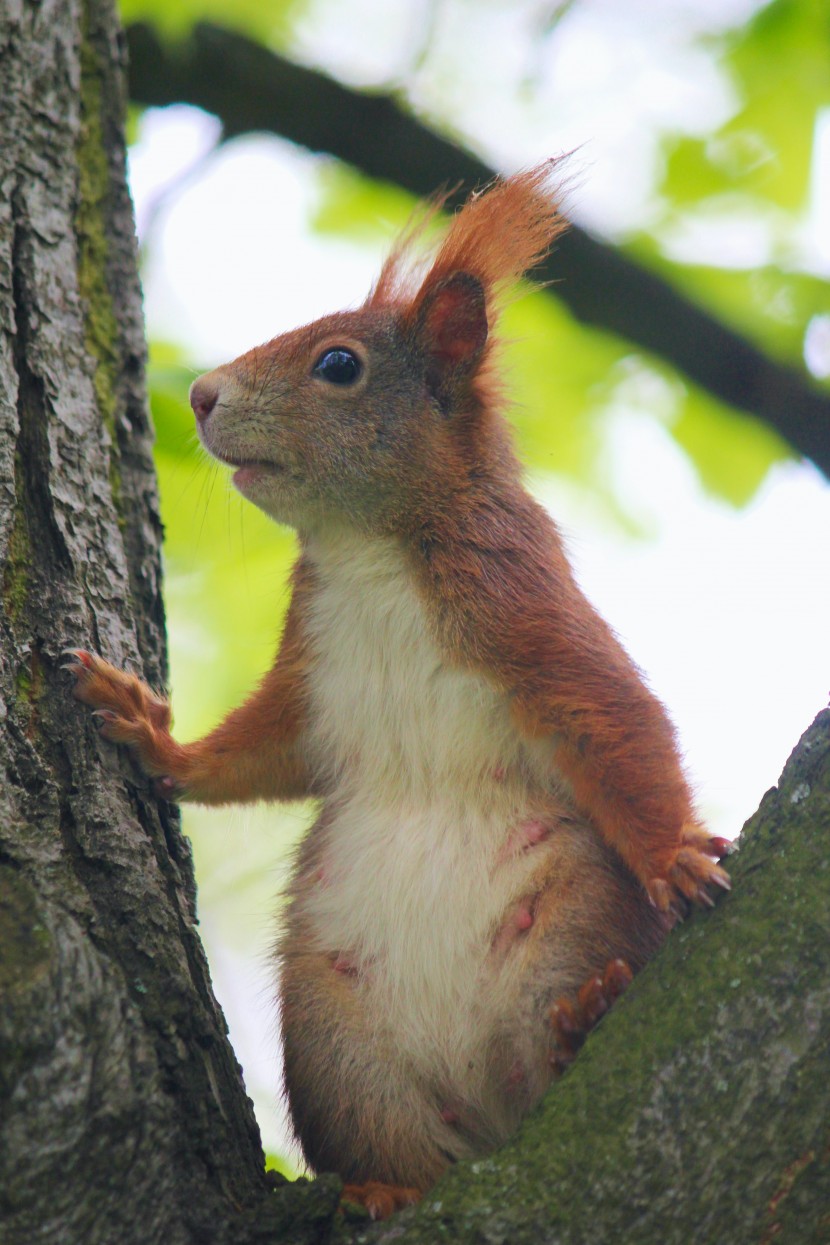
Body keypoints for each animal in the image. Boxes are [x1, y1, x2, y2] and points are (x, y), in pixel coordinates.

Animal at [71, 160, 731, 1220]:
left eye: (339, 365)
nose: (204, 394)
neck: (369, 548)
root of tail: (485, 1120)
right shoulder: (311, 672)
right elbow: (260, 751)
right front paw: (149, 733)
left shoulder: (526, 610)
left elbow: (618, 720)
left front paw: (675, 853)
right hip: (333, 1037)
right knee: (391, 1139)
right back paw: (381, 1187)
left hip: (574, 918)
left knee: (557, 1024)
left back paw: (581, 1021)